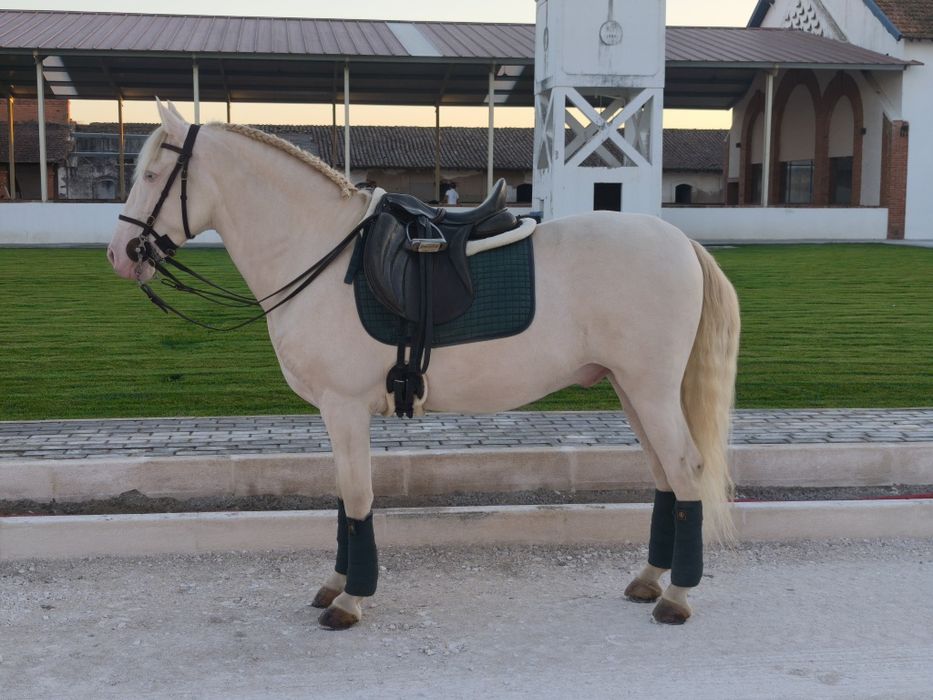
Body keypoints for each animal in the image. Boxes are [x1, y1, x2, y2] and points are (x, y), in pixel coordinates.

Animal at [108, 101, 740, 629]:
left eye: (151, 175)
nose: (120, 255)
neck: (319, 251)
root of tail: (681, 243)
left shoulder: (344, 407)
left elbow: (357, 498)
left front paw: (351, 599)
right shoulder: (336, 414)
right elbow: (344, 497)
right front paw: (337, 582)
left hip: (650, 390)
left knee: (685, 470)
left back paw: (677, 595)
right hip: (631, 389)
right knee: (665, 476)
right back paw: (650, 578)